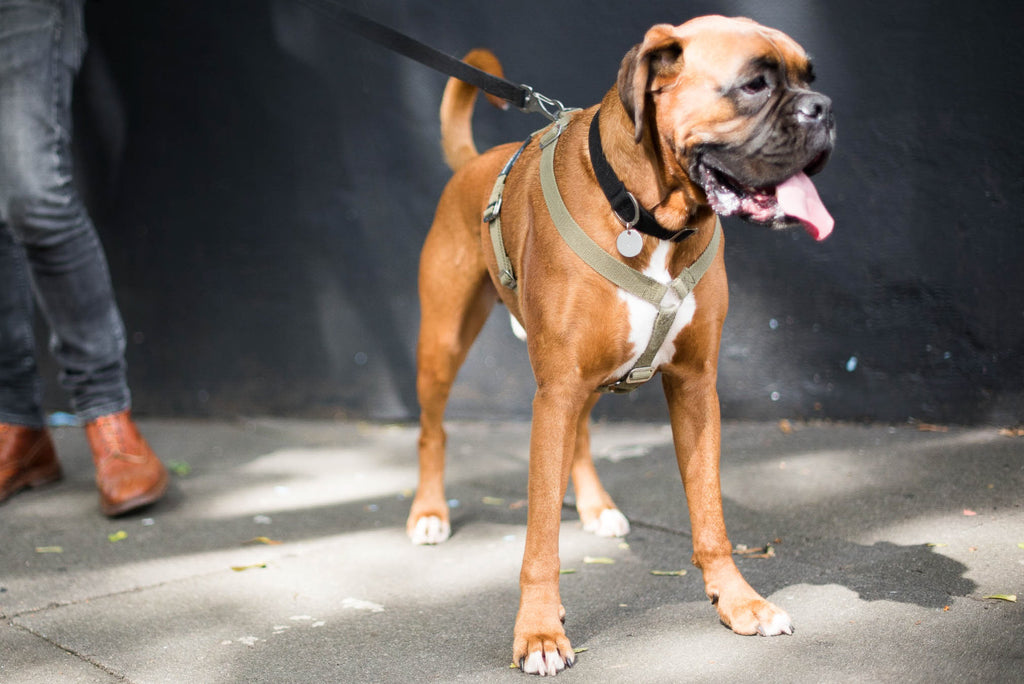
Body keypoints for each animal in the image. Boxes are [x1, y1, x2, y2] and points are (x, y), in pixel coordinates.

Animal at [405, 14, 831, 671]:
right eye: (754, 85)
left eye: (810, 77)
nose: (824, 108)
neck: (647, 214)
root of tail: (473, 165)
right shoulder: (554, 391)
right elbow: (540, 537)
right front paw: (539, 633)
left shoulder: (694, 387)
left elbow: (710, 515)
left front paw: (739, 602)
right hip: (446, 346)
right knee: (433, 430)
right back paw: (429, 513)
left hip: (581, 378)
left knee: (578, 436)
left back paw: (596, 505)